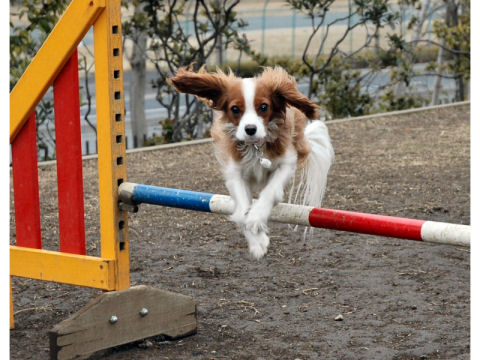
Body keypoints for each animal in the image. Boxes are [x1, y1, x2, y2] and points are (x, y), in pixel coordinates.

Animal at [169, 67, 334, 258]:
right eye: (235, 109)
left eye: (263, 107)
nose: (250, 129)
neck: (255, 147)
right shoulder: (235, 173)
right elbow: (242, 212)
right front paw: (257, 242)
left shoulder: (286, 162)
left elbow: (269, 193)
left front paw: (256, 219)